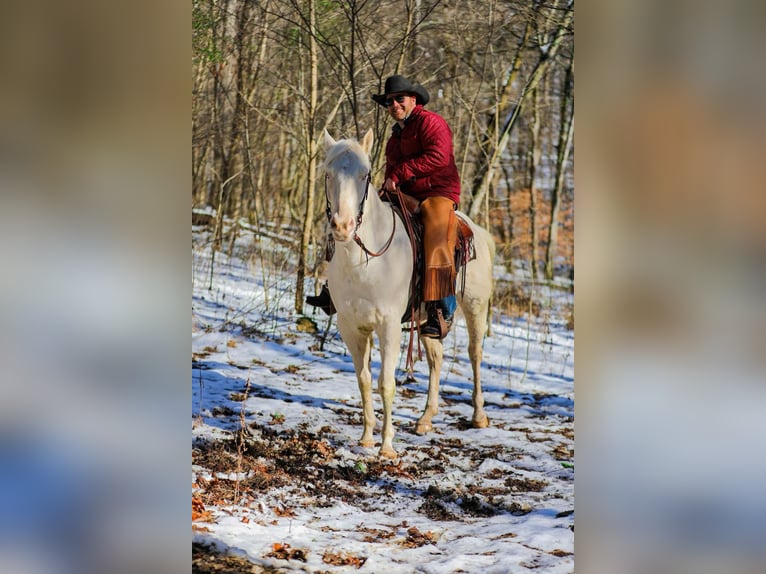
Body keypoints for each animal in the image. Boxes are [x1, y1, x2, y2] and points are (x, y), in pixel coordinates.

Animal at [320, 129, 496, 460]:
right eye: (328, 173)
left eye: (364, 174)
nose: (343, 226)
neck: (364, 262)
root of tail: (477, 230)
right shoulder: (351, 327)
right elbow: (364, 380)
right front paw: (366, 438)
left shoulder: (388, 326)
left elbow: (386, 383)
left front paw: (387, 447)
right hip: (428, 319)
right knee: (436, 359)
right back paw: (425, 419)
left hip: (475, 307)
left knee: (475, 354)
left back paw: (479, 416)